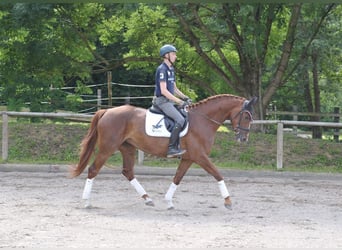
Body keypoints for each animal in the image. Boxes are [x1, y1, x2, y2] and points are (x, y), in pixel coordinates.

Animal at [69, 94, 256, 209]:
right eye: (246, 116)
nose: (244, 139)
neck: (203, 120)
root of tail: (106, 110)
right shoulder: (200, 156)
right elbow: (218, 174)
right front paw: (228, 201)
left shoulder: (188, 158)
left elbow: (177, 178)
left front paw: (169, 202)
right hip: (108, 148)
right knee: (93, 170)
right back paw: (86, 202)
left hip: (127, 148)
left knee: (128, 171)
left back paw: (148, 199)